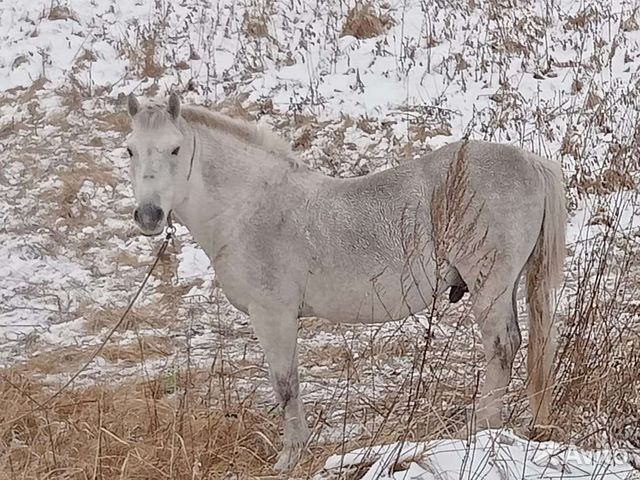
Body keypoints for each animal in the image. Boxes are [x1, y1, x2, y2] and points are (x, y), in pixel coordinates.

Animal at [124, 93, 564, 468]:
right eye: (130, 149)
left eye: (175, 149)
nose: (148, 215)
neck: (250, 207)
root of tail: (528, 161)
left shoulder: (272, 316)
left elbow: (286, 384)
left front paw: (290, 457)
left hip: (490, 284)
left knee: (501, 346)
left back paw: (481, 428)